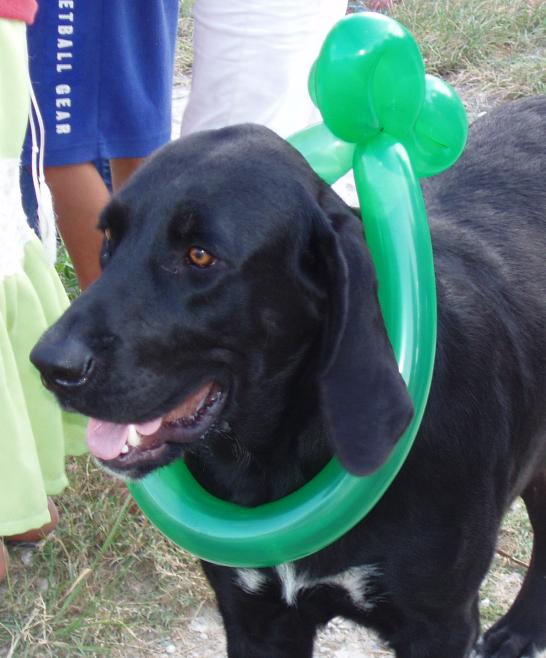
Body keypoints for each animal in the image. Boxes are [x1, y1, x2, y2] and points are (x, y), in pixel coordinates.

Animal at [30, 97, 544, 656]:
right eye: (108, 237)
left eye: (200, 255)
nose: (49, 365)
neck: (279, 450)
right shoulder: (255, 616)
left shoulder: (440, 626)